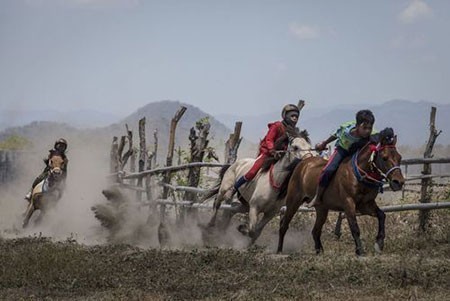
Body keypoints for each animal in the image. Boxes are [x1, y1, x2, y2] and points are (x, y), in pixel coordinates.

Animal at [276, 129, 406, 255]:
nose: (398, 182)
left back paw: (319, 251)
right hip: (293, 202)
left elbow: (382, 215)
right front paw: (360, 250)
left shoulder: (366, 205)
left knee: (315, 231)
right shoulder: (349, 203)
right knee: (284, 225)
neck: (357, 174)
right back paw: (279, 250)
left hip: (322, 209)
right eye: (384, 157)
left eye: (399, 157)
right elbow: (354, 227)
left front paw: (379, 243)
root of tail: (303, 163)